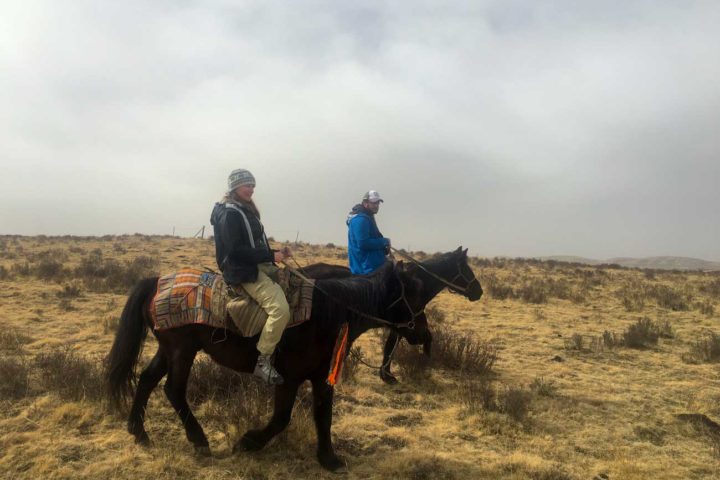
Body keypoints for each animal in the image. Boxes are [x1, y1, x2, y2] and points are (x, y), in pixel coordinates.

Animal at [107, 260, 428, 470]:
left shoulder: (321, 377)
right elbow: (281, 418)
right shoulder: (289, 378)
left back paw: (139, 432)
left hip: (168, 350)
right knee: (173, 390)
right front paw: (248, 442)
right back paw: (199, 440)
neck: (327, 312)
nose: (426, 334)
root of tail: (157, 282)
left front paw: (329, 459)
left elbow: (323, 416)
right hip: (181, 351)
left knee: (147, 379)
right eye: (412, 294)